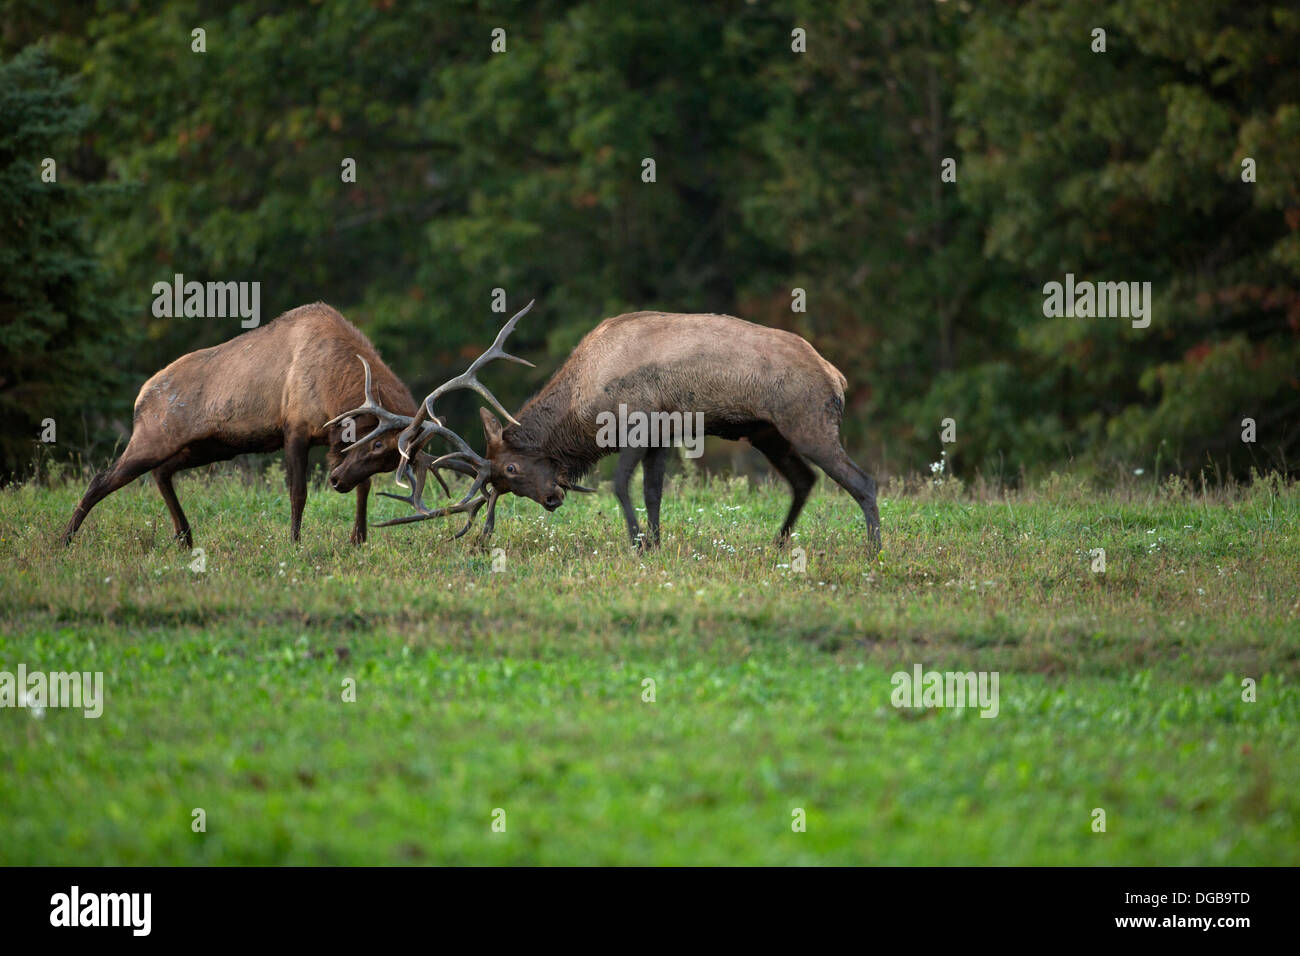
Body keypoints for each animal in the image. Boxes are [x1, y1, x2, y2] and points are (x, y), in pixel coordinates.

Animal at [61, 303, 416, 548]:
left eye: (390, 461)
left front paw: (358, 538)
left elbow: (364, 486)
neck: (336, 392)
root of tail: (139, 398)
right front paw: (294, 543)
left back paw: (185, 537)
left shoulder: (335, 443)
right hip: (152, 438)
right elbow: (298, 492)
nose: (336, 482)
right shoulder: (295, 429)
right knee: (101, 479)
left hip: (210, 447)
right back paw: (64, 540)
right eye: (378, 443)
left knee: (161, 473)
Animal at [340, 303, 878, 548]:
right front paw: (655, 543)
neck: (583, 406)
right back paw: (779, 542)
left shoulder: (637, 423)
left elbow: (622, 485)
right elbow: (655, 491)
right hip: (766, 431)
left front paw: (638, 543)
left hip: (806, 419)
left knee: (861, 480)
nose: (553, 498)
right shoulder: (664, 435)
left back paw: (872, 551)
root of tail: (836, 375)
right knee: (804, 480)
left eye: (510, 470)